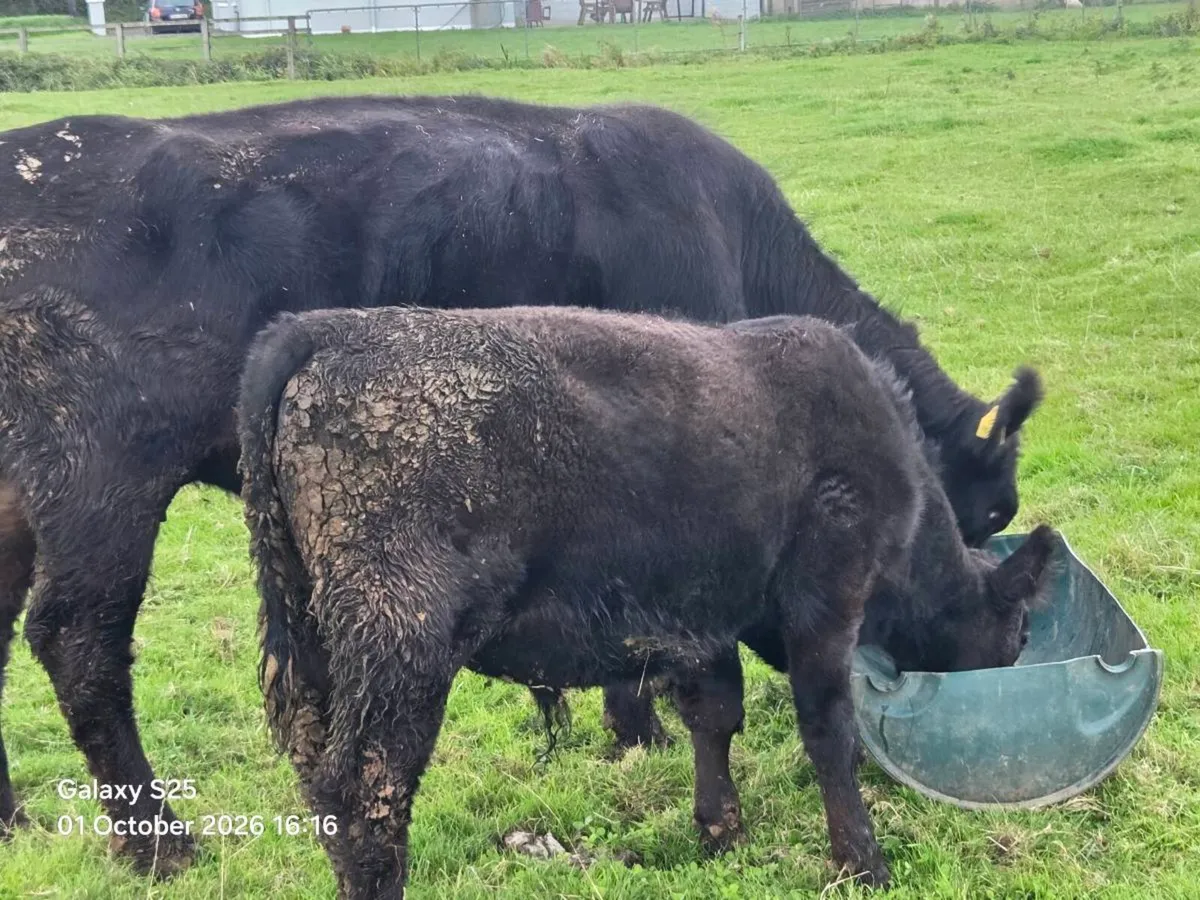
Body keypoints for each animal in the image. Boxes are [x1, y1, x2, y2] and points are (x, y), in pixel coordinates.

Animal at [237, 305, 1058, 899]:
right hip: (400, 643)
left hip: (313, 642)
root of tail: (326, 328)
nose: (1013, 667)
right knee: (368, 789)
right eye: (1019, 629)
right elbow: (829, 733)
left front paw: (721, 833)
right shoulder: (825, 602)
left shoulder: (705, 619)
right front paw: (864, 863)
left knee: (321, 781)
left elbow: (715, 717)